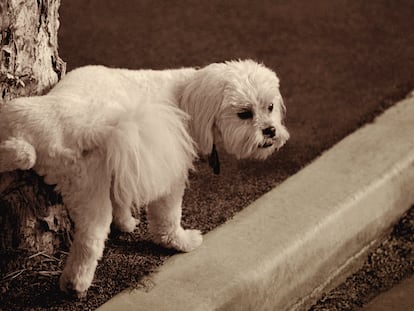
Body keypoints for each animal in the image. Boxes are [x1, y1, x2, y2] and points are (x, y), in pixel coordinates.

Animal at [0, 60, 290, 298]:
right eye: (244, 113)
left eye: (270, 107)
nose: (270, 131)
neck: (186, 97)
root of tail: (87, 127)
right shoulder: (168, 174)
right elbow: (167, 219)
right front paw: (178, 242)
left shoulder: (122, 163)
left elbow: (121, 199)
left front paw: (125, 222)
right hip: (17, 116)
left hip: (85, 186)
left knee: (91, 239)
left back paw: (75, 285)